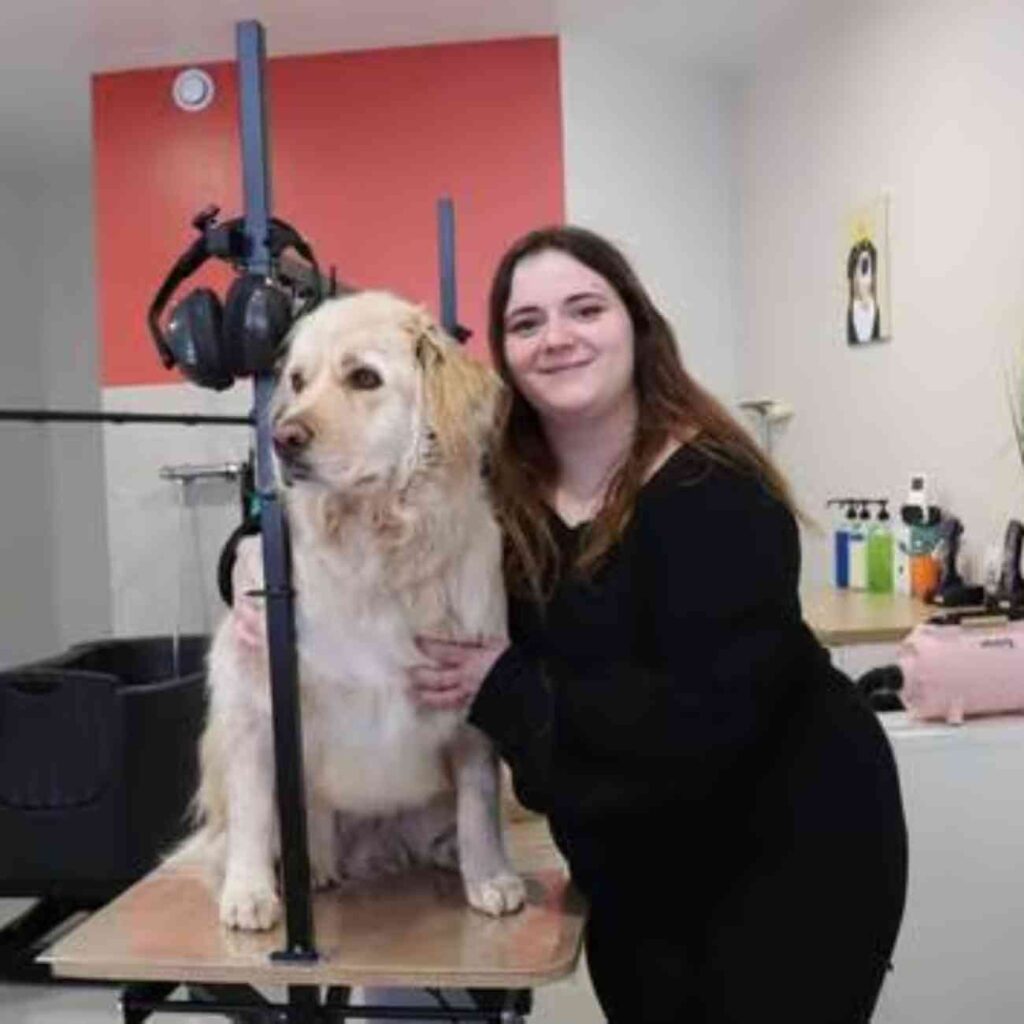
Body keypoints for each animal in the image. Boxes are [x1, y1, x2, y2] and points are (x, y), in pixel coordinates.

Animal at [183, 288, 524, 929]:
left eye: (364, 377)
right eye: (296, 380)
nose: (283, 438)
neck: (375, 548)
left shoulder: (470, 697)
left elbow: (479, 801)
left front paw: (490, 876)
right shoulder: (253, 698)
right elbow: (251, 807)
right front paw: (249, 892)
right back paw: (306, 868)